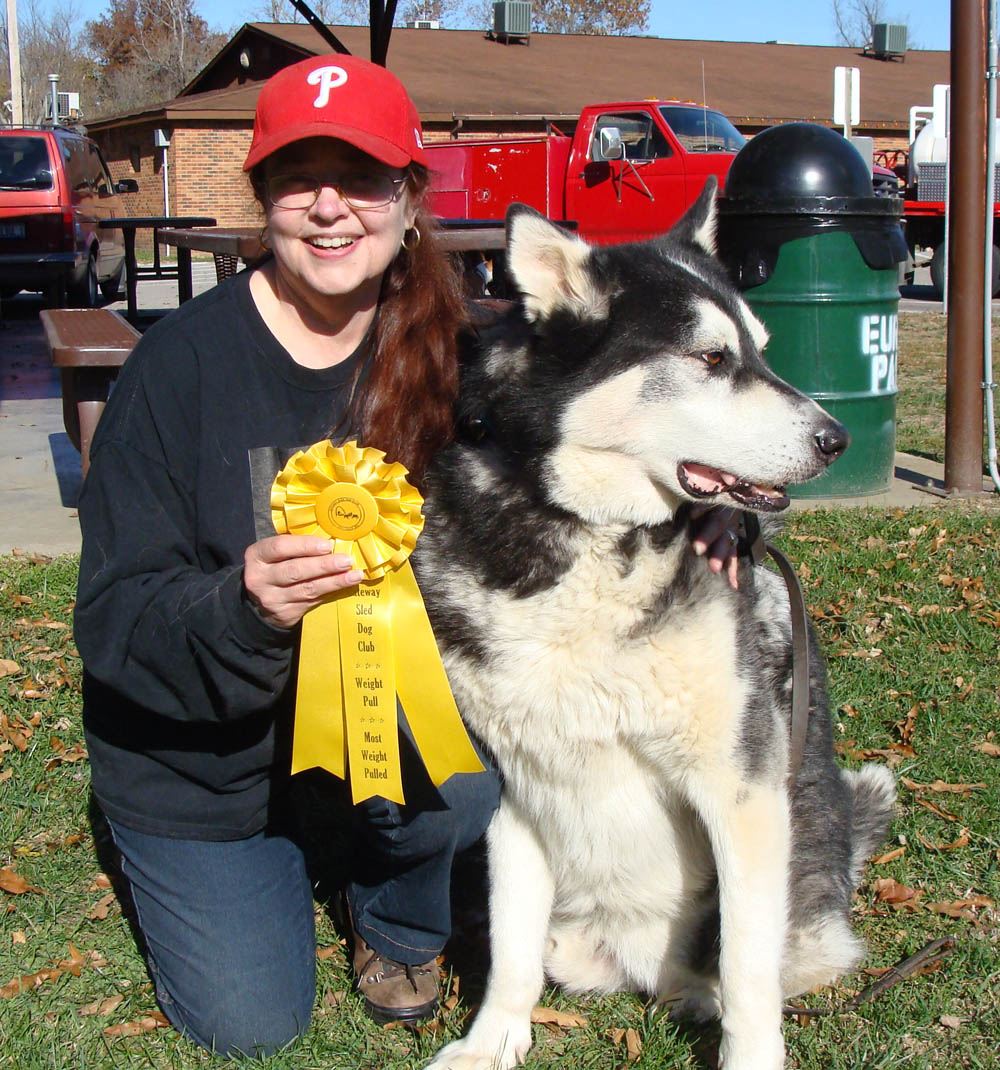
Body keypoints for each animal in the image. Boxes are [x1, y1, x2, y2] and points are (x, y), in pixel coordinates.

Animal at [410, 179, 894, 1065]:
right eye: (711, 359)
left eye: (762, 348)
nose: (836, 438)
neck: (590, 535)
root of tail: (639, 963)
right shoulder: (513, 789)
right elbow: (510, 947)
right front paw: (492, 1040)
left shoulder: (741, 790)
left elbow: (747, 971)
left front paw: (751, 1055)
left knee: (744, 966)